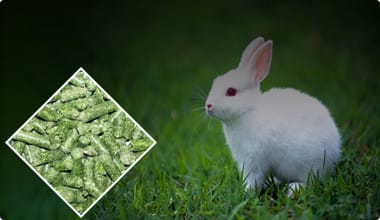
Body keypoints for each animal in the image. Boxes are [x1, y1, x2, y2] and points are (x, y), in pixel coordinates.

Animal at [206, 36, 342, 196]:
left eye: (231, 92)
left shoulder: (253, 159)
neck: (247, 111)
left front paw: (246, 192)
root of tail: (335, 152)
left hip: (309, 165)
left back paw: (293, 189)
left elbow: (253, 178)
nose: (208, 105)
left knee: (310, 181)